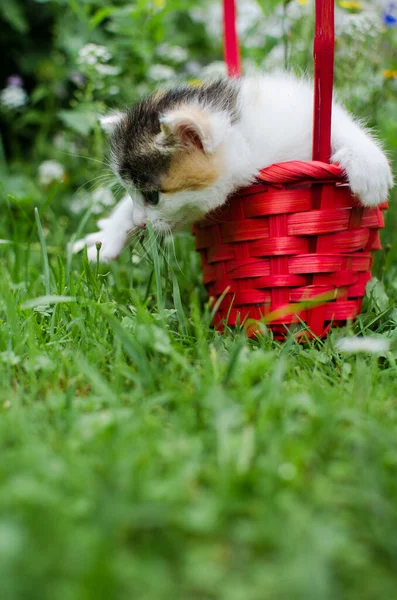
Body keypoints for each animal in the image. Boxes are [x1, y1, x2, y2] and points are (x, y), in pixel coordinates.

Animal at [74, 72, 392, 262]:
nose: (140, 222)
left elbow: (340, 125)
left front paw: (370, 169)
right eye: (132, 193)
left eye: (153, 196)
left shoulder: (307, 116)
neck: (248, 142)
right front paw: (104, 241)